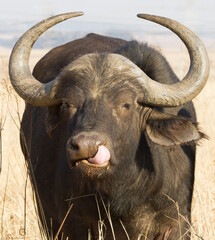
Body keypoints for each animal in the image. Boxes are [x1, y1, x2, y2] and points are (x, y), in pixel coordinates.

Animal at [9, 12, 209, 240]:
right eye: (68, 104)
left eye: (126, 104)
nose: (87, 147)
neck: (125, 191)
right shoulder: (71, 223)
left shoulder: (177, 222)